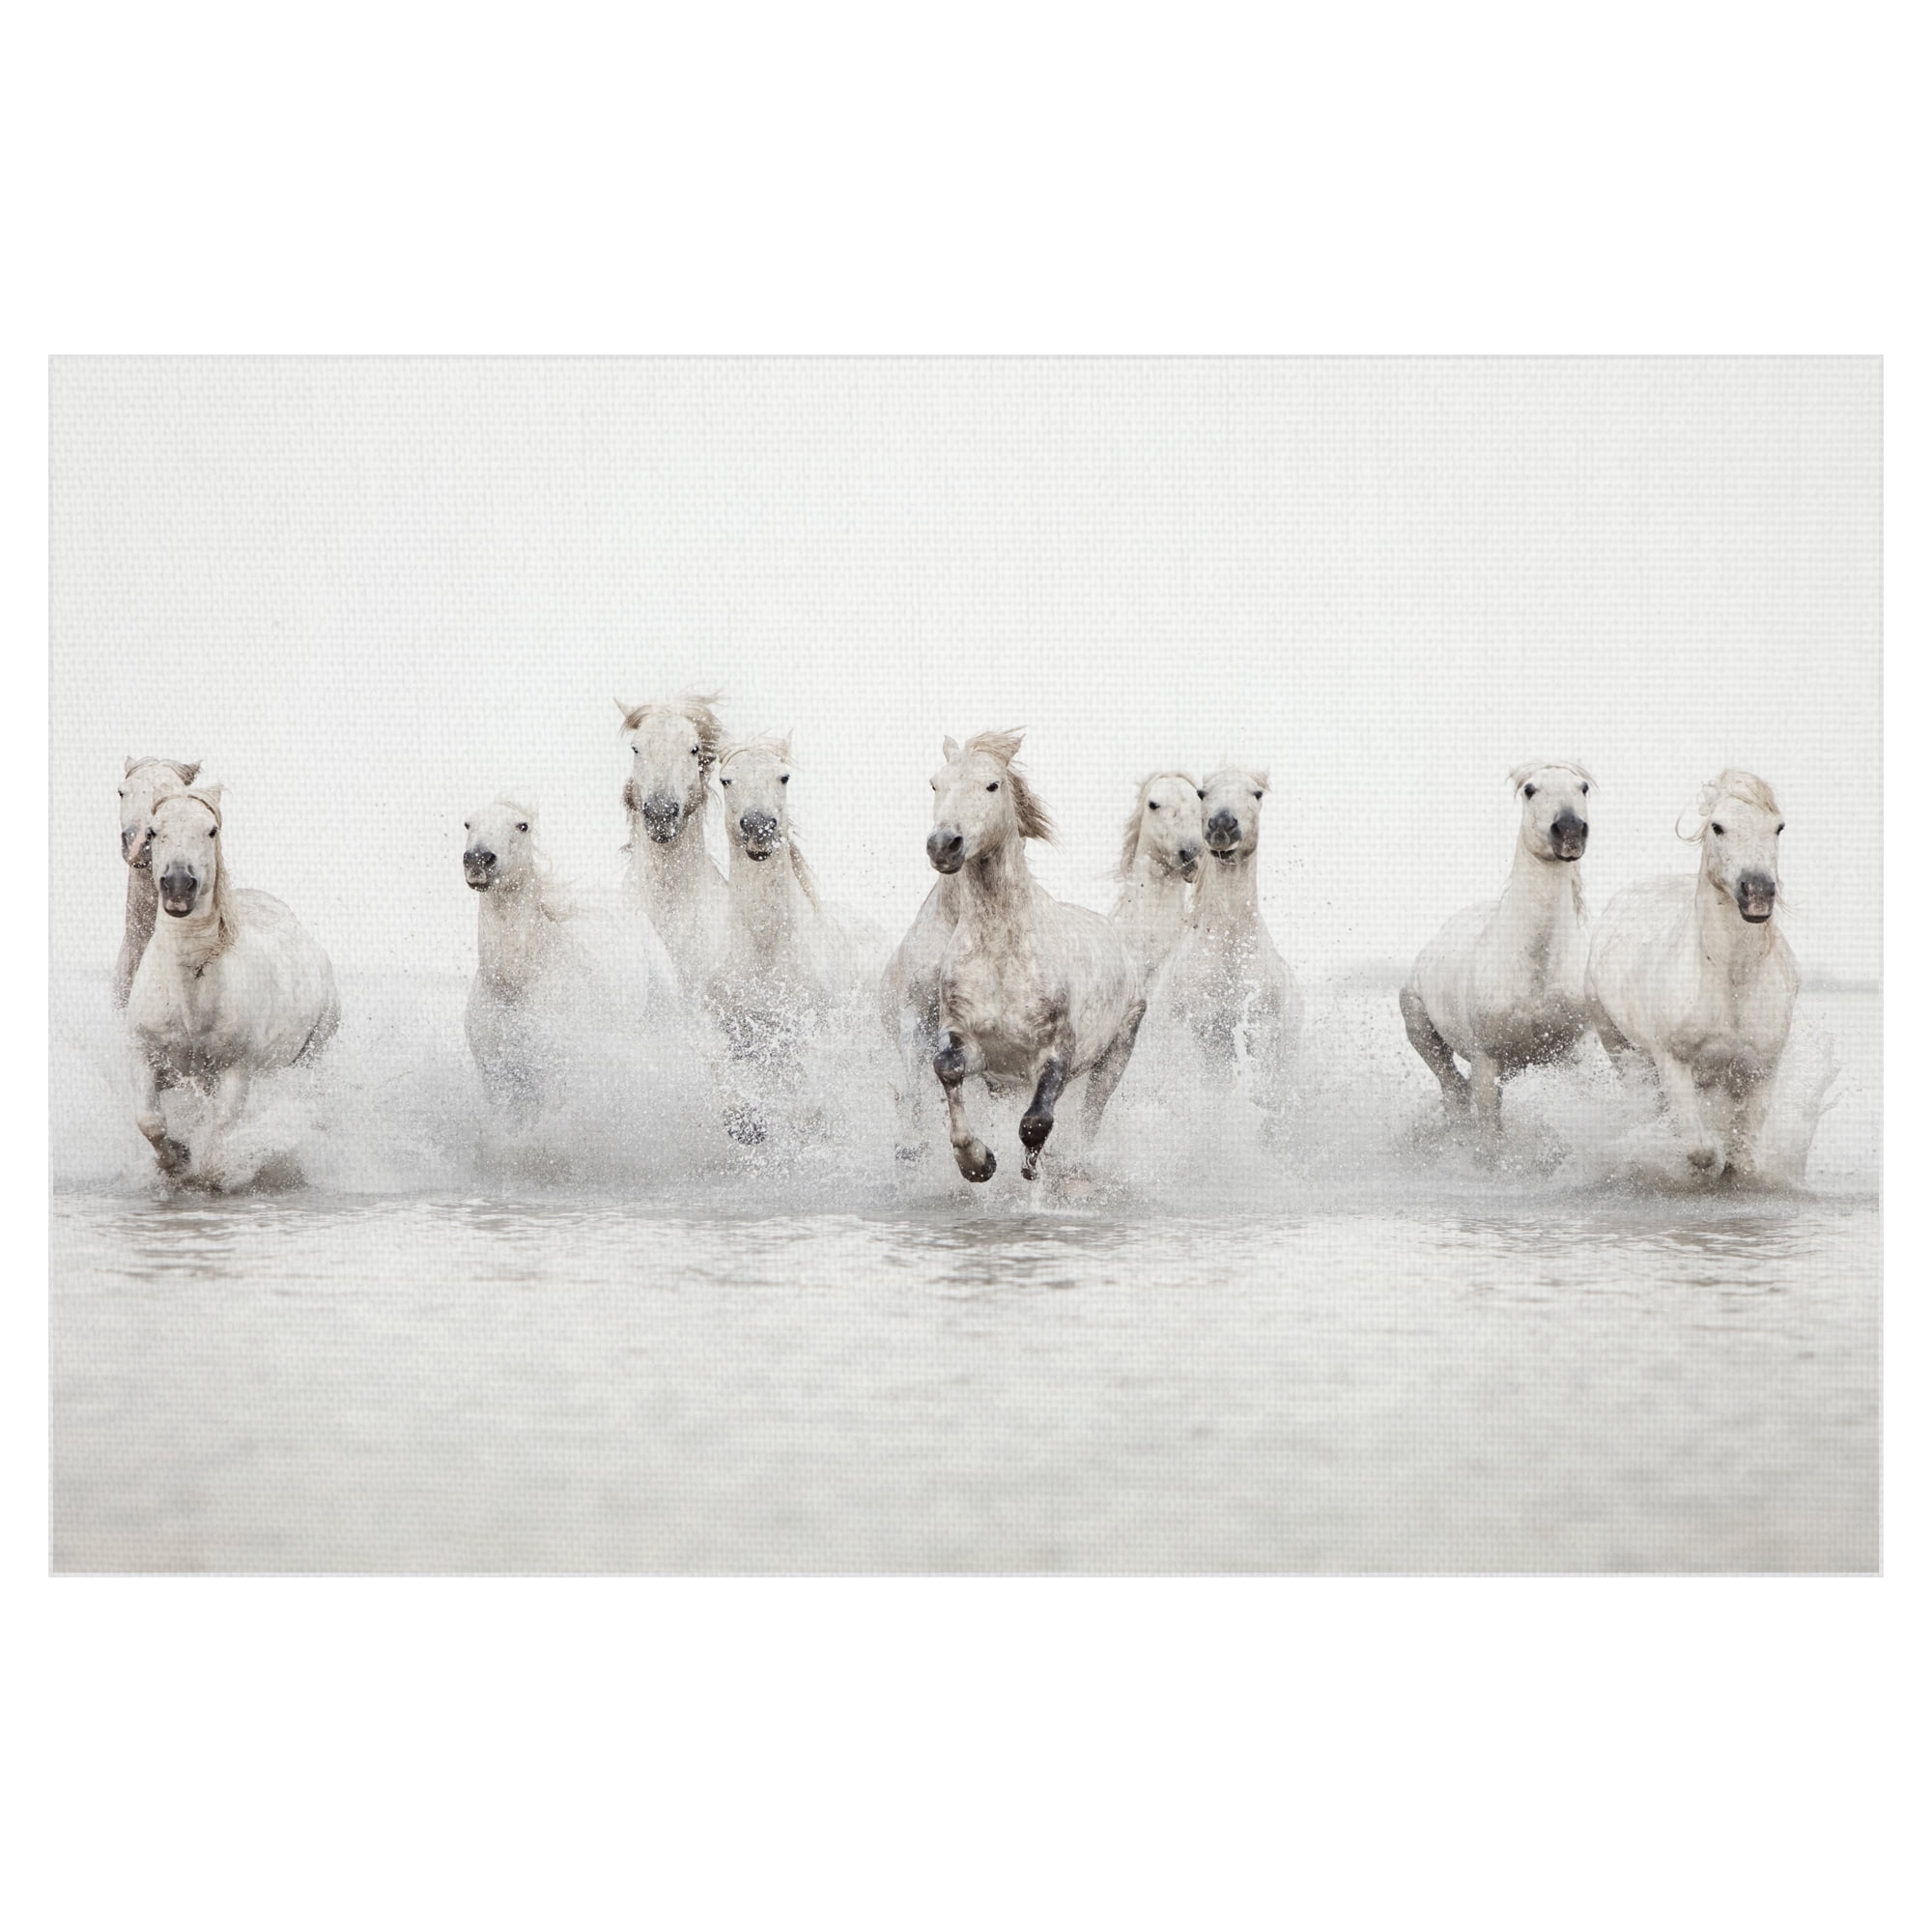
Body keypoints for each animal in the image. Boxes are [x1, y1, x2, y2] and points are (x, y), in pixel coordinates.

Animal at [126, 786, 339, 1185]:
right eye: (154, 831)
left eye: (211, 830)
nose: (178, 887)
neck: (189, 1004)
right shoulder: (147, 1056)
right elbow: (150, 1121)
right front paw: (175, 1159)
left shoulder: (235, 1072)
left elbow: (214, 1150)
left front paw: (204, 1170)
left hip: (309, 1054)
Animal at [917, 729, 1144, 1182]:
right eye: (935, 784)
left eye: (992, 785)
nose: (944, 845)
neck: (1002, 952)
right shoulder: (974, 1046)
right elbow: (946, 1067)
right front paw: (978, 1163)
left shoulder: (1055, 1052)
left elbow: (1036, 1121)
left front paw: (1032, 1169)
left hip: (1116, 1054)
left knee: (1091, 1113)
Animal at [1152, 767, 1300, 1118]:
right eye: (1202, 793)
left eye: (1257, 793)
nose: (1221, 825)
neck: (1230, 952)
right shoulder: (1206, 1033)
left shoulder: (1259, 1030)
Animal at [1399, 761, 1593, 1135]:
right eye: (1530, 789)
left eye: (1583, 787)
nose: (1569, 830)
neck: (1535, 968)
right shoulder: (1486, 1064)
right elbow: (1490, 1142)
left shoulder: (1574, 1056)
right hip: (1421, 1030)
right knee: (1454, 1091)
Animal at [1585, 769, 1798, 1180]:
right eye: (1718, 826)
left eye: (1779, 827)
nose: (1758, 892)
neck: (1730, 982)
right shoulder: (1674, 1063)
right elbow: (1700, 1149)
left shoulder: (1762, 1071)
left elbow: (1742, 1157)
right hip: (1619, 1045)